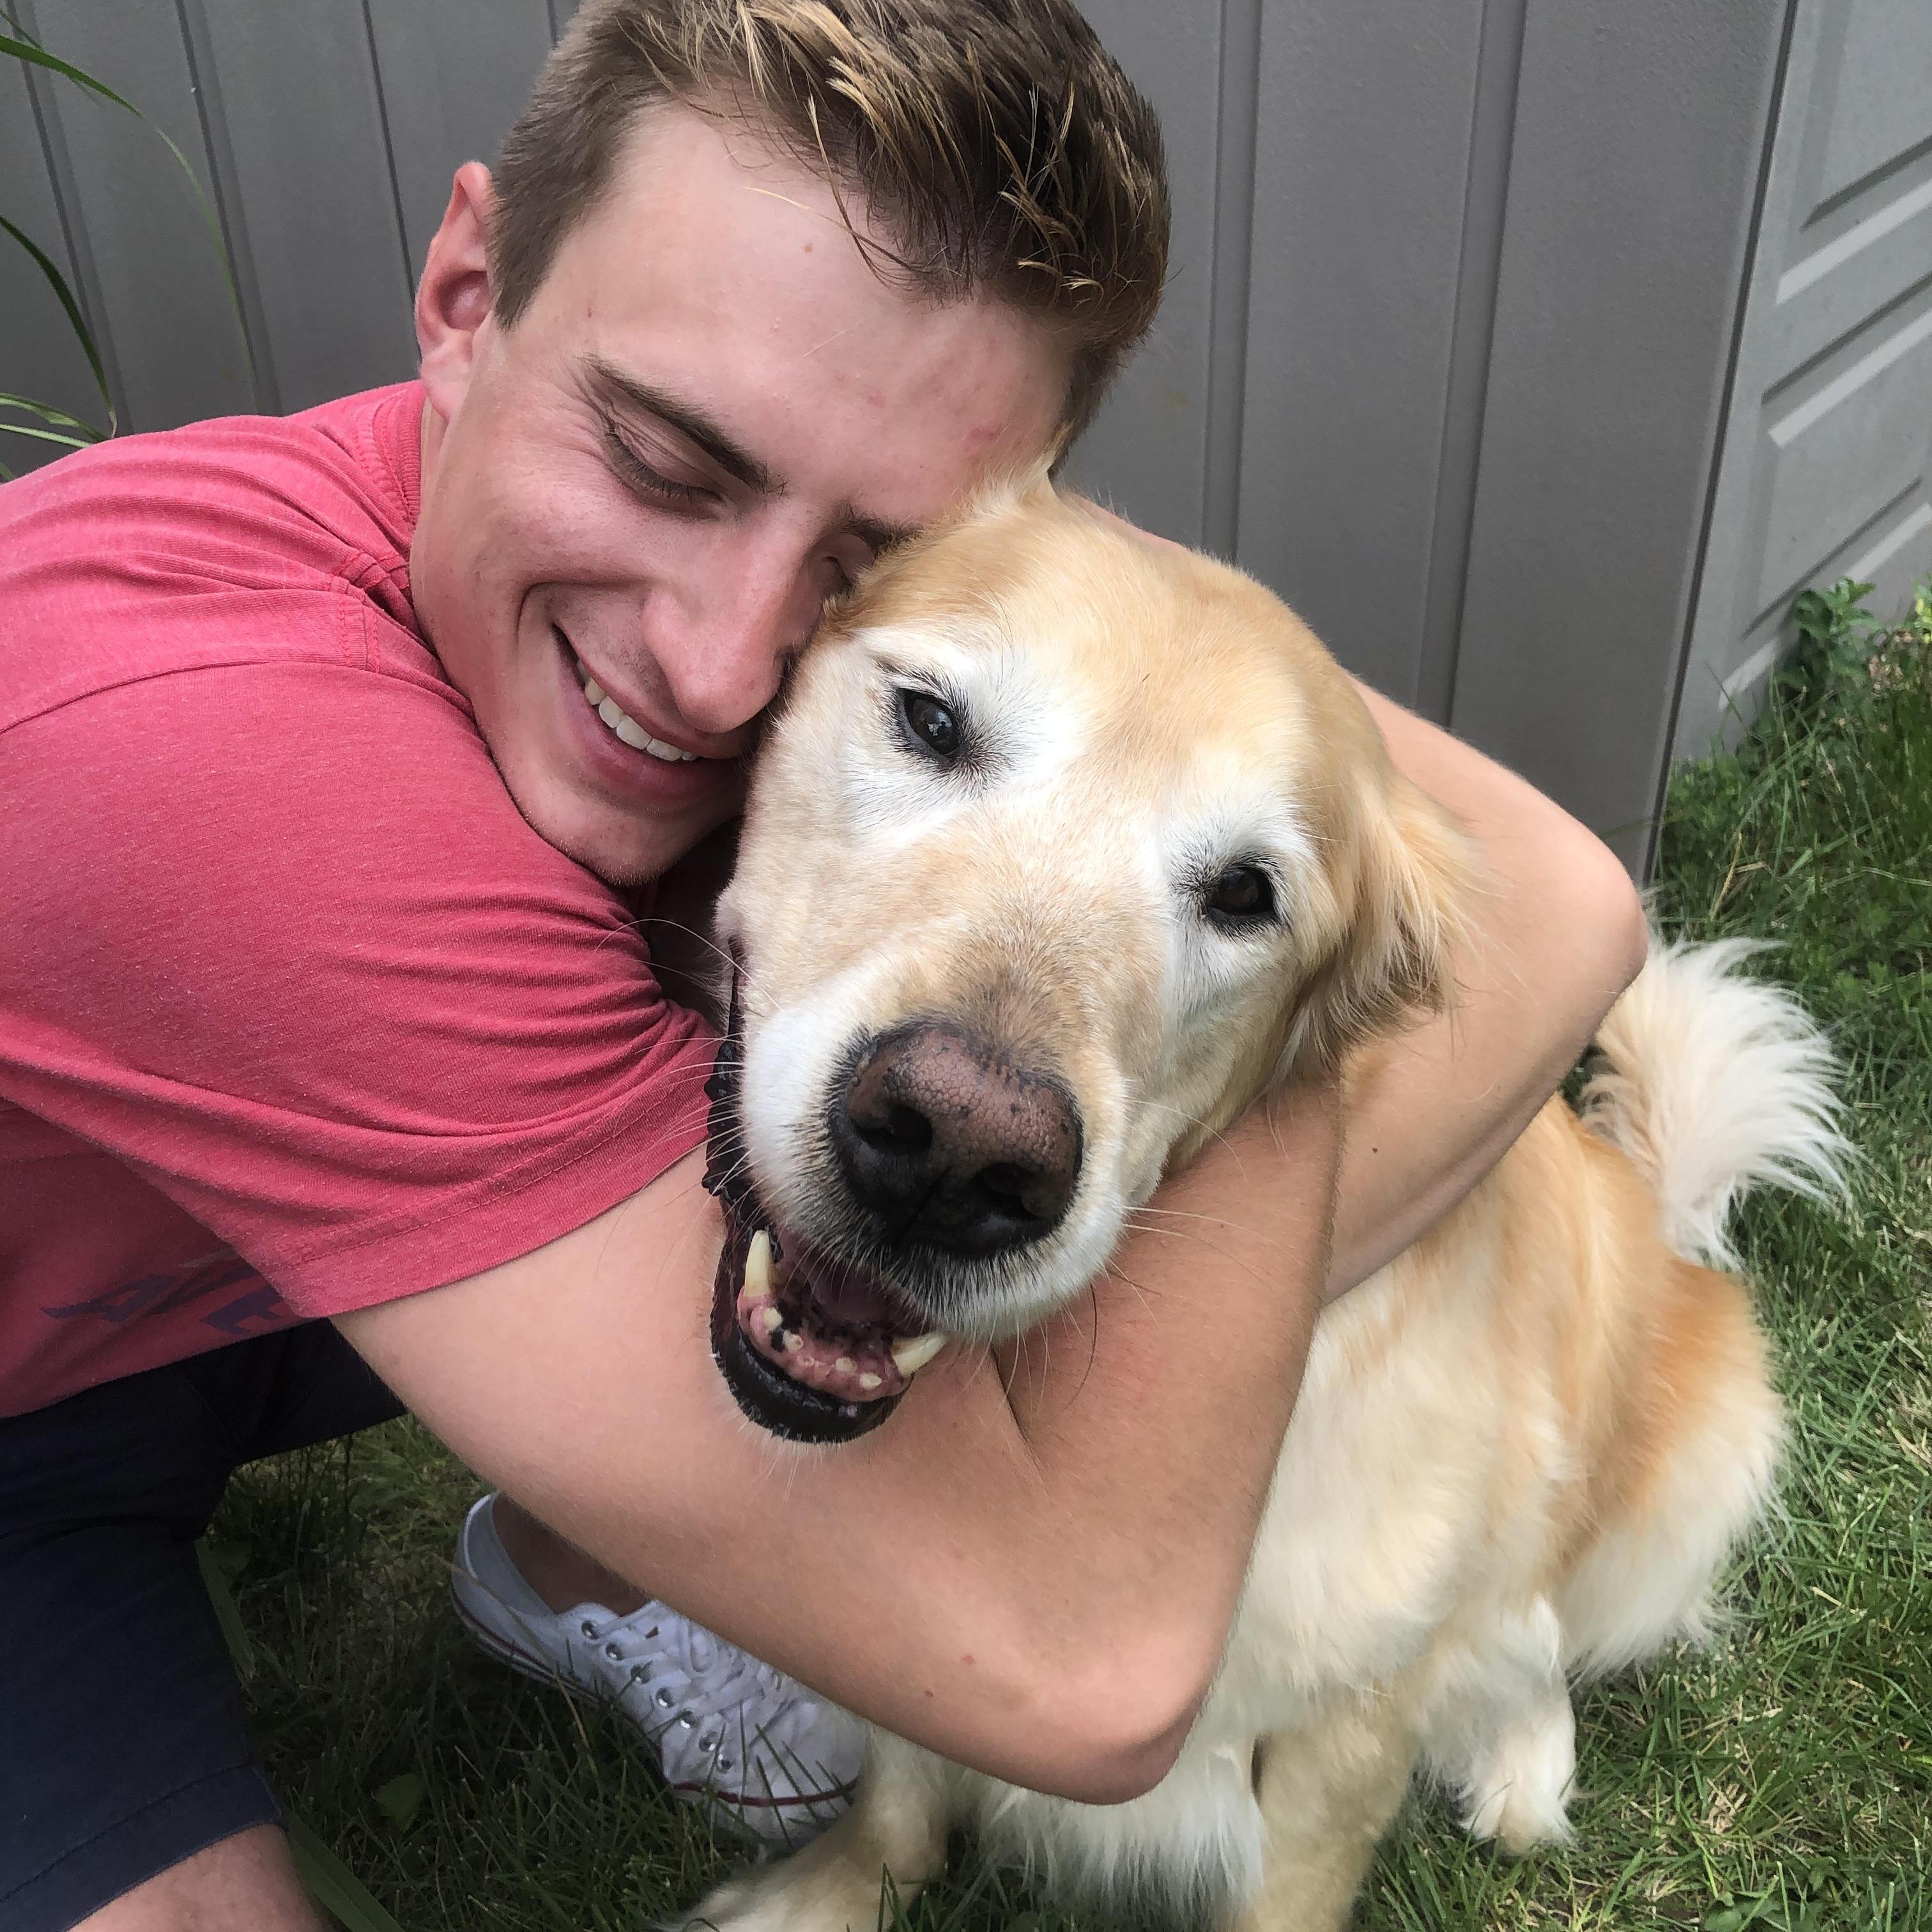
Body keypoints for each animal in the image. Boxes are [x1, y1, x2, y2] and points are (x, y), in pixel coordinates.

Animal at [676, 477, 1847, 1930]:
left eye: (1246, 893)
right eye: (930, 720)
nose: (956, 1154)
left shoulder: (1343, 1730)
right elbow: (898, 1790)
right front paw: (835, 1889)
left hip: (1687, 1467)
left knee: (1543, 1631)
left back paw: (1523, 1763)